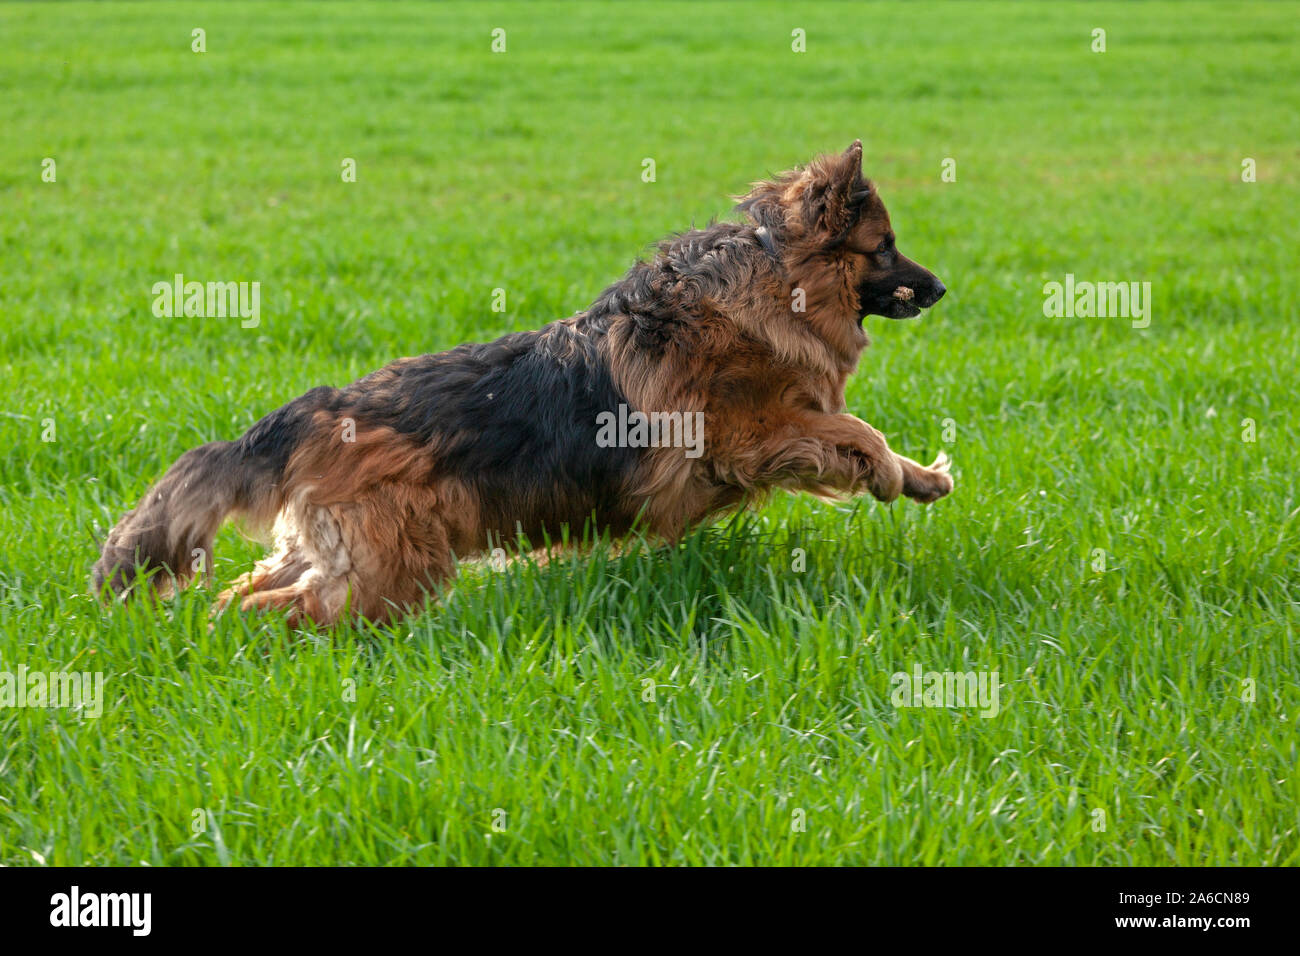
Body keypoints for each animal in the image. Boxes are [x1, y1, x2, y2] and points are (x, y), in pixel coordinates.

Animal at [89, 138, 946, 624]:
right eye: (885, 247)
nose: (941, 289)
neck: (770, 279)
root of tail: (308, 412)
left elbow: (858, 435)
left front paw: (920, 478)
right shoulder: (754, 435)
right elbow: (853, 432)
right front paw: (892, 474)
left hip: (338, 553)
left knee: (249, 591)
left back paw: (210, 635)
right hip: (389, 572)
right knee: (293, 609)